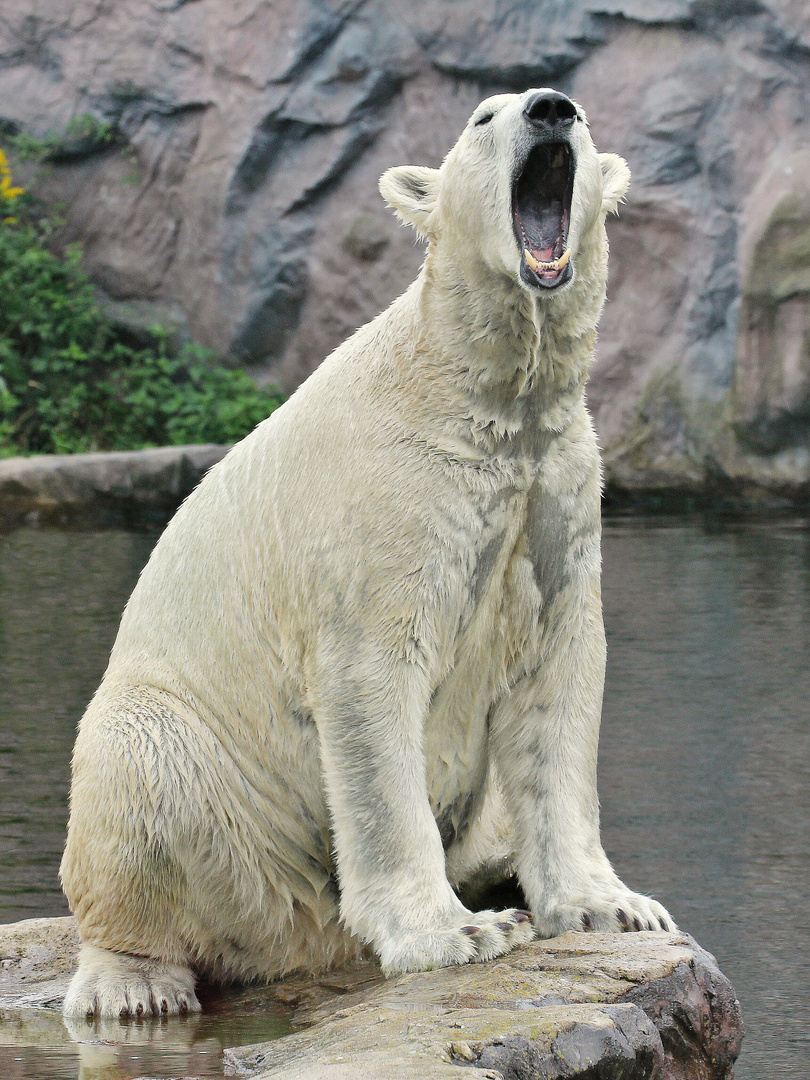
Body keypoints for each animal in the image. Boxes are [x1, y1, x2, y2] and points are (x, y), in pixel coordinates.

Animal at [60, 86, 673, 1019]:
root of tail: (298, 936)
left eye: (581, 115)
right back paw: (135, 983)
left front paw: (615, 906)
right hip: (216, 788)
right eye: (483, 118)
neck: (479, 395)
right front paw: (456, 934)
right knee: (137, 758)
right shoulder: (388, 503)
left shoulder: (558, 491)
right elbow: (373, 692)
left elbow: (558, 678)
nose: (549, 109)